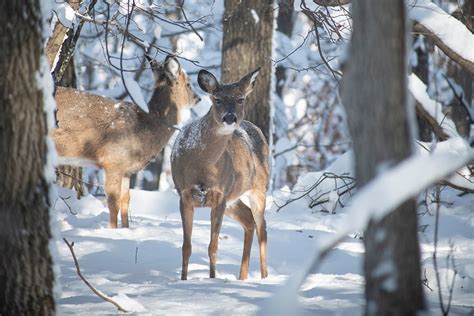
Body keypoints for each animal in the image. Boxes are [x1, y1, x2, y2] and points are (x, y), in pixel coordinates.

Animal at [52, 54, 200, 227]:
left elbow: (126, 200)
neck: (145, 127)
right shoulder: (112, 160)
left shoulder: (126, 170)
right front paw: (113, 230)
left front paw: (126, 229)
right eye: (189, 84)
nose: (198, 98)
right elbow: (113, 202)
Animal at [170, 68, 268, 280]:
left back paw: (264, 276)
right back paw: (242, 277)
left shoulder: (220, 196)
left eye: (240, 99)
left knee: (262, 228)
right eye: (217, 99)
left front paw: (212, 279)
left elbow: (213, 247)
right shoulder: (184, 195)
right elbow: (186, 247)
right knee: (249, 221)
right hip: (233, 198)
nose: (229, 118)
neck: (202, 167)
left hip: (258, 188)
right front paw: (183, 280)